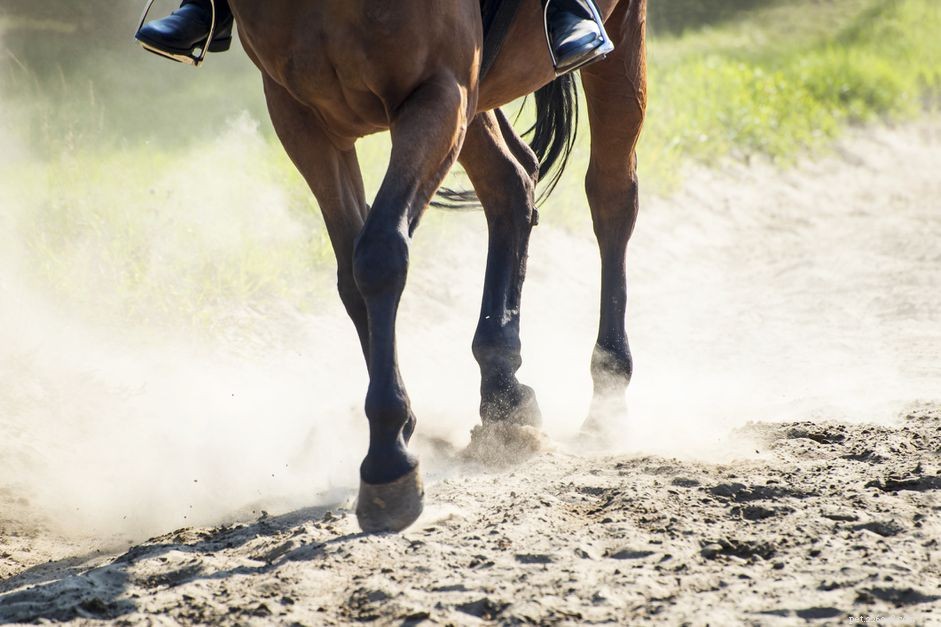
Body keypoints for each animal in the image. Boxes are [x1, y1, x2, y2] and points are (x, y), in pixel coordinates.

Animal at [225, 0, 647, 532]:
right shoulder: (302, 117)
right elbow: (351, 276)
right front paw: (403, 430)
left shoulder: (440, 91)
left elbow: (380, 253)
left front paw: (388, 458)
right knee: (512, 183)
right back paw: (503, 390)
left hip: (617, 35)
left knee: (612, 195)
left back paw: (607, 393)